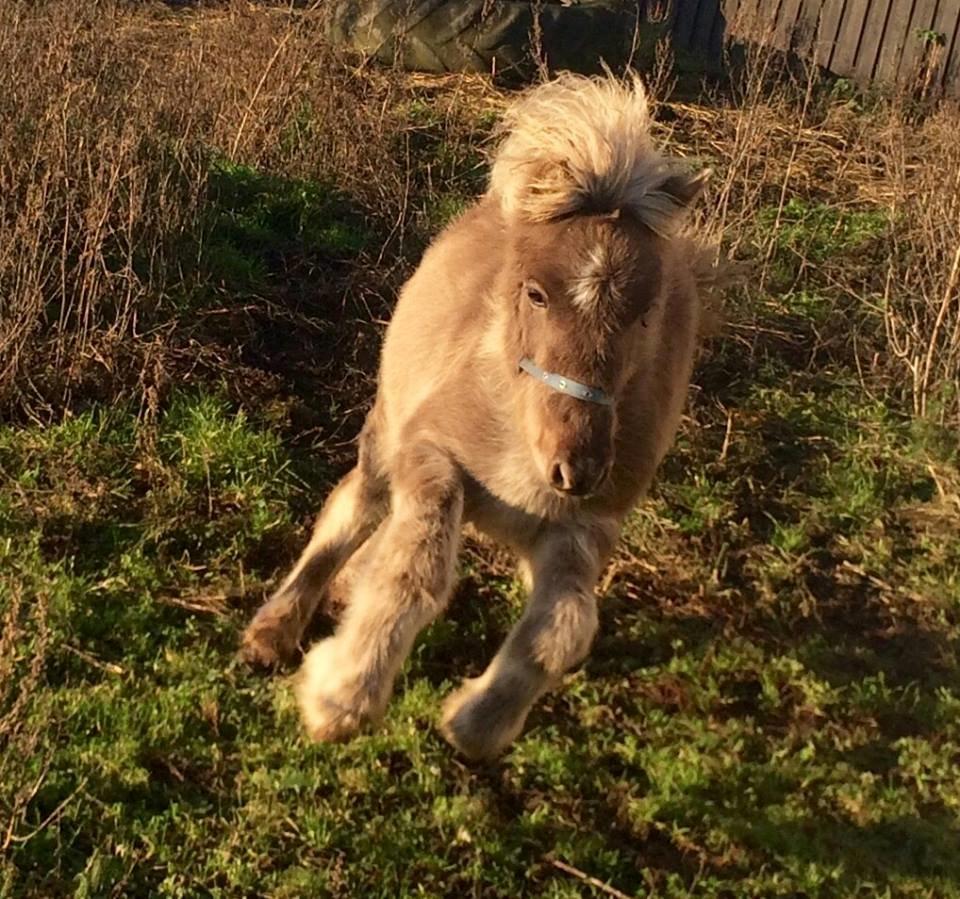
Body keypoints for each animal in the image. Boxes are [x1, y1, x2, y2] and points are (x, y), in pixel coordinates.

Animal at [244, 74, 716, 760]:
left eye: (648, 312)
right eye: (536, 293)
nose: (576, 468)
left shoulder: (585, 529)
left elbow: (566, 627)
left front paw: (475, 722)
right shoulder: (429, 452)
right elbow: (415, 566)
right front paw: (340, 696)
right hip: (387, 429)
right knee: (352, 511)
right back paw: (276, 631)